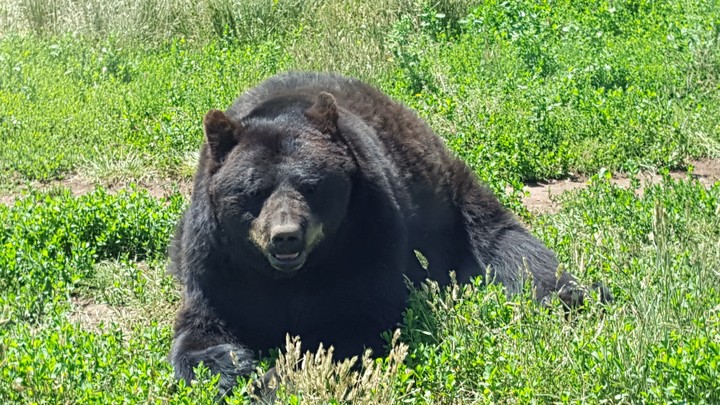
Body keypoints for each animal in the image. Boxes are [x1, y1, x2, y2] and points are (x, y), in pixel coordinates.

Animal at [168, 71, 610, 394]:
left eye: (311, 186)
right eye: (253, 191)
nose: (286, 236)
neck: (291, 275)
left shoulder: (365, 234)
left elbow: (354, 324)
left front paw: (277, 378)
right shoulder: (219, 258)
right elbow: (204, 324)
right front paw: (232, 366)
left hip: (449, 204)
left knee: (509, 246)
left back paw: (572, 293)